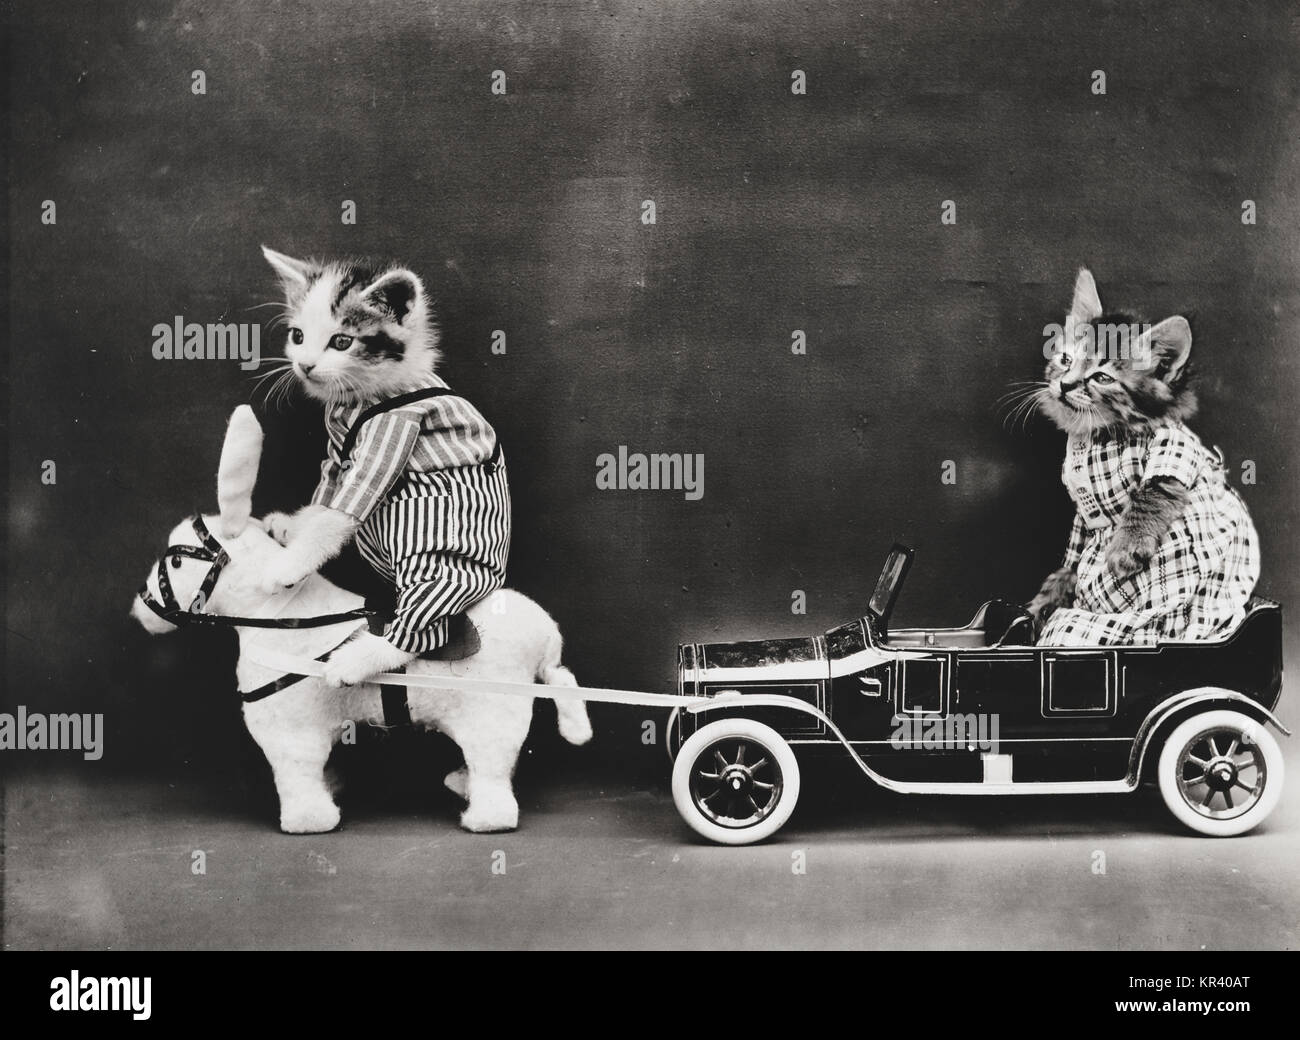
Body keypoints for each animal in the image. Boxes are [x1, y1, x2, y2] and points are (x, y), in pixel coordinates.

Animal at [257, 246, 506, 686]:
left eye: (342, 341)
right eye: (298, 336)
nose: (305, 366)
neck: (359, 398)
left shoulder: (396, 426)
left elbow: (340, 514)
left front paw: (286, 566)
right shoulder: (337, 455)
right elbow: (325, 499)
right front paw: (292, 528)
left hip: (442, 559)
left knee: (428, 625)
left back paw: (359, 659)